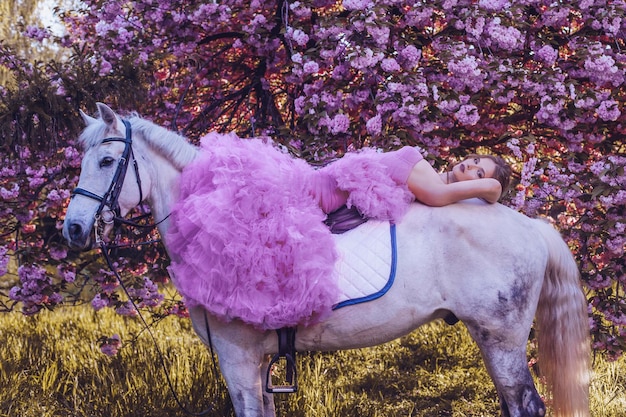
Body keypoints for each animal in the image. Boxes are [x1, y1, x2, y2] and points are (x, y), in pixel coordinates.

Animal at [61, 103, 588, 416]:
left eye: (106, 162)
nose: (74, 229)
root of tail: (532, 226)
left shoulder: (237, 359)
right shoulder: (256, 365)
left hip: (500, 338)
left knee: (526, 406)